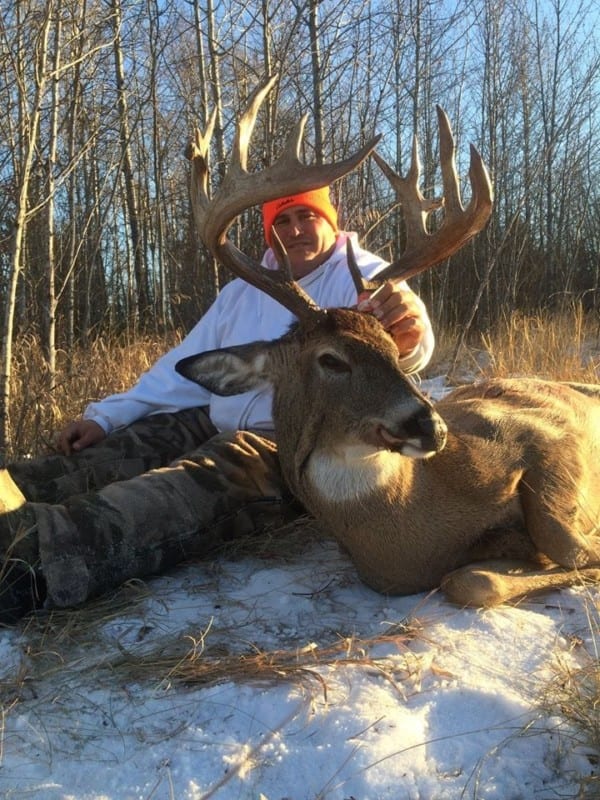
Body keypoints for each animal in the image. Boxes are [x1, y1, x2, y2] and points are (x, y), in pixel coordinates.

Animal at [177, 75, 600, 608]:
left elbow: (563, 545)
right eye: (331, 360)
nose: (432, 427)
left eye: (394, 348)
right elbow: (472, 578)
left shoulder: (542, 434)